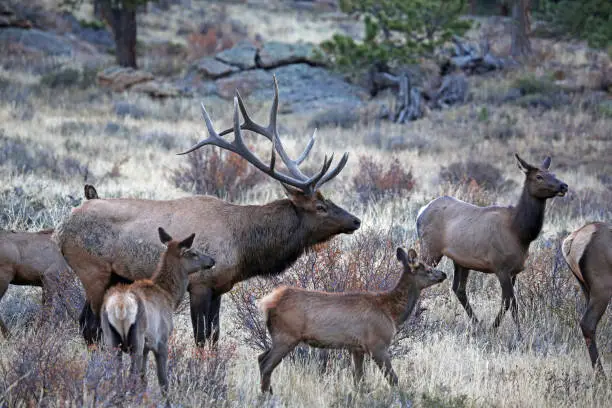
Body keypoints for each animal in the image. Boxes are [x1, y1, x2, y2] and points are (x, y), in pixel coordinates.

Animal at [55, 78, 360, 346]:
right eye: (320, 207)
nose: (356, 220)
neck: (244, 245)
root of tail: (61, 229)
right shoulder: (200, 284)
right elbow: (201, 338)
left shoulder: (220, 287)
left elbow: (214, 336)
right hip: (92, 271)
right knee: (89, 325)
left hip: (115, 276)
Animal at [100, 228, 215, 394]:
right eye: (193, 252)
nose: (212, 260)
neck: (170, 297)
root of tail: (119, 306)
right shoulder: (161, 340)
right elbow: (163, 381)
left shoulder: (146, 348)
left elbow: (144, 379)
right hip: (136, 341)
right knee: (131, 377)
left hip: (112, 341)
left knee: (115, 377)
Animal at [256, 247, 448, 394]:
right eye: (427, 268)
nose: (444, 274)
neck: (392, 312)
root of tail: (266, 303)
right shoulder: (377, 344)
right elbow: (392, 378)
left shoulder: (356, 348)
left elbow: (359, 379)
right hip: (286, 336)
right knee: (266, 364)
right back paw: (267, 396)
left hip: (280, 337)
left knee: (260, 358)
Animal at [418, 155, 568, 336]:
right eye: (539, 176)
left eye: (553, 174)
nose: (564, 185)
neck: (521, 233)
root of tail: (421, 211)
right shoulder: (500, 267)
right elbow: (511, 302)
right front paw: (516, 334)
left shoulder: (514, 271)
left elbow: (507, 302)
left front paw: (494, 328)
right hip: (429, 249)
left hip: (461, 260)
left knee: (459, 289)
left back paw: (477, 323)